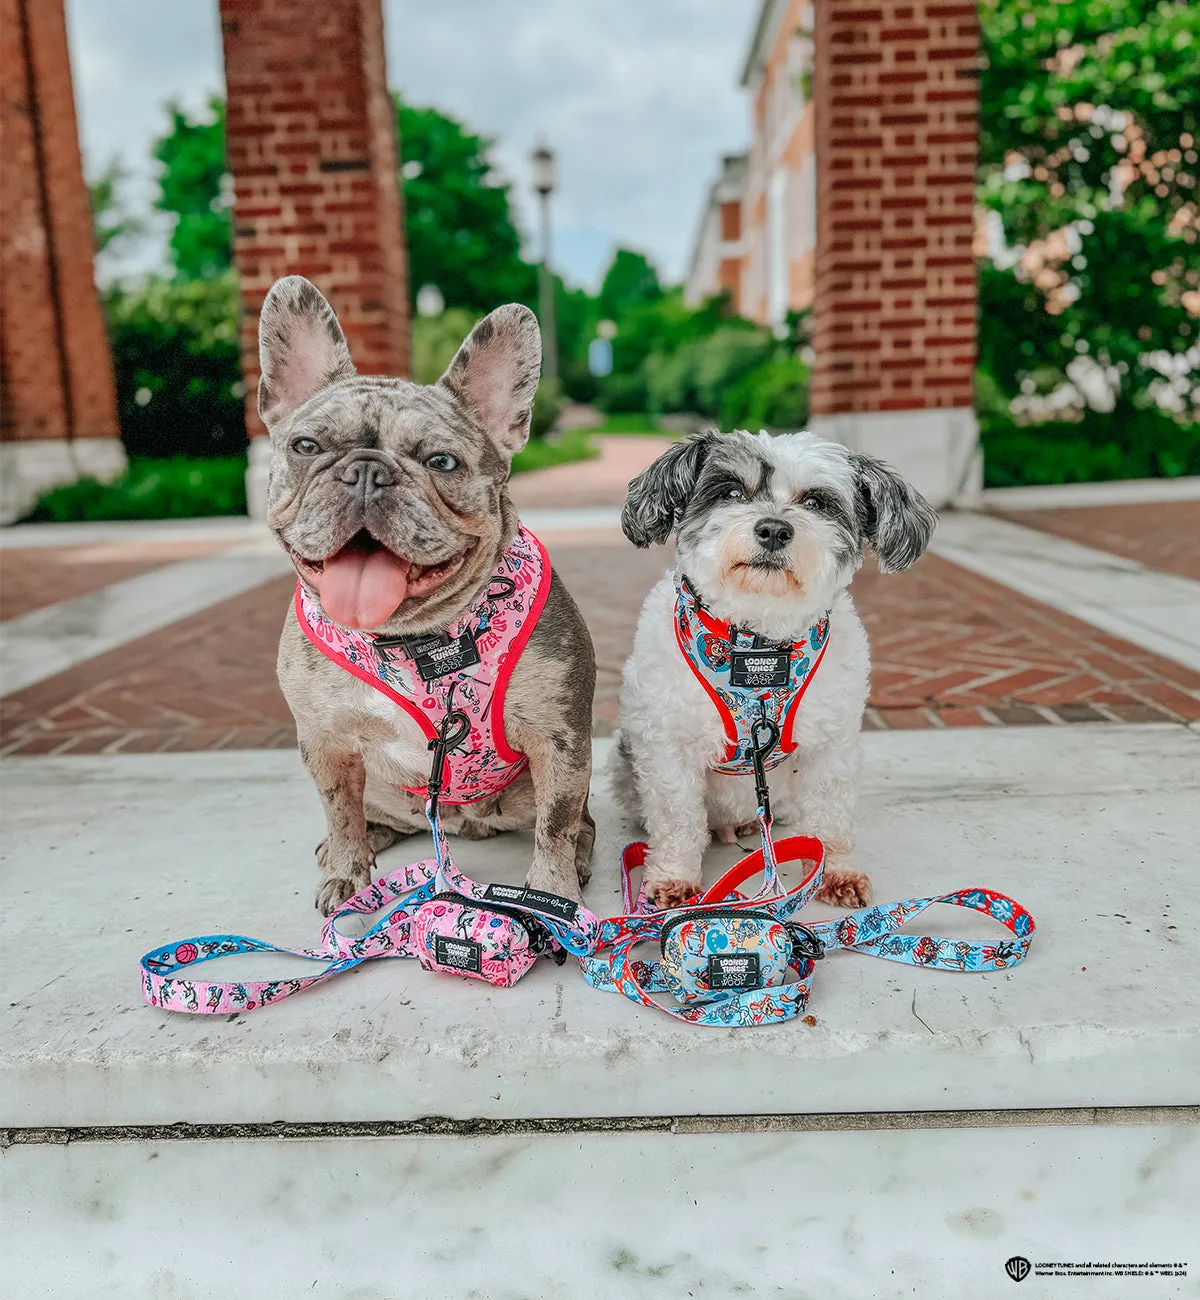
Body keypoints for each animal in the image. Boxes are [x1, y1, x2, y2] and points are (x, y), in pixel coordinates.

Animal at [611, 431, 936, 909]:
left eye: (816, 502)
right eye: (730, 492)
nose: (774, 529)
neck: (757, 645)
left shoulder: (831, 746)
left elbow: (830, 818)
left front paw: (835, 874)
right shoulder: (667, 746)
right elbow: (676, 819)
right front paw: (674, 879)